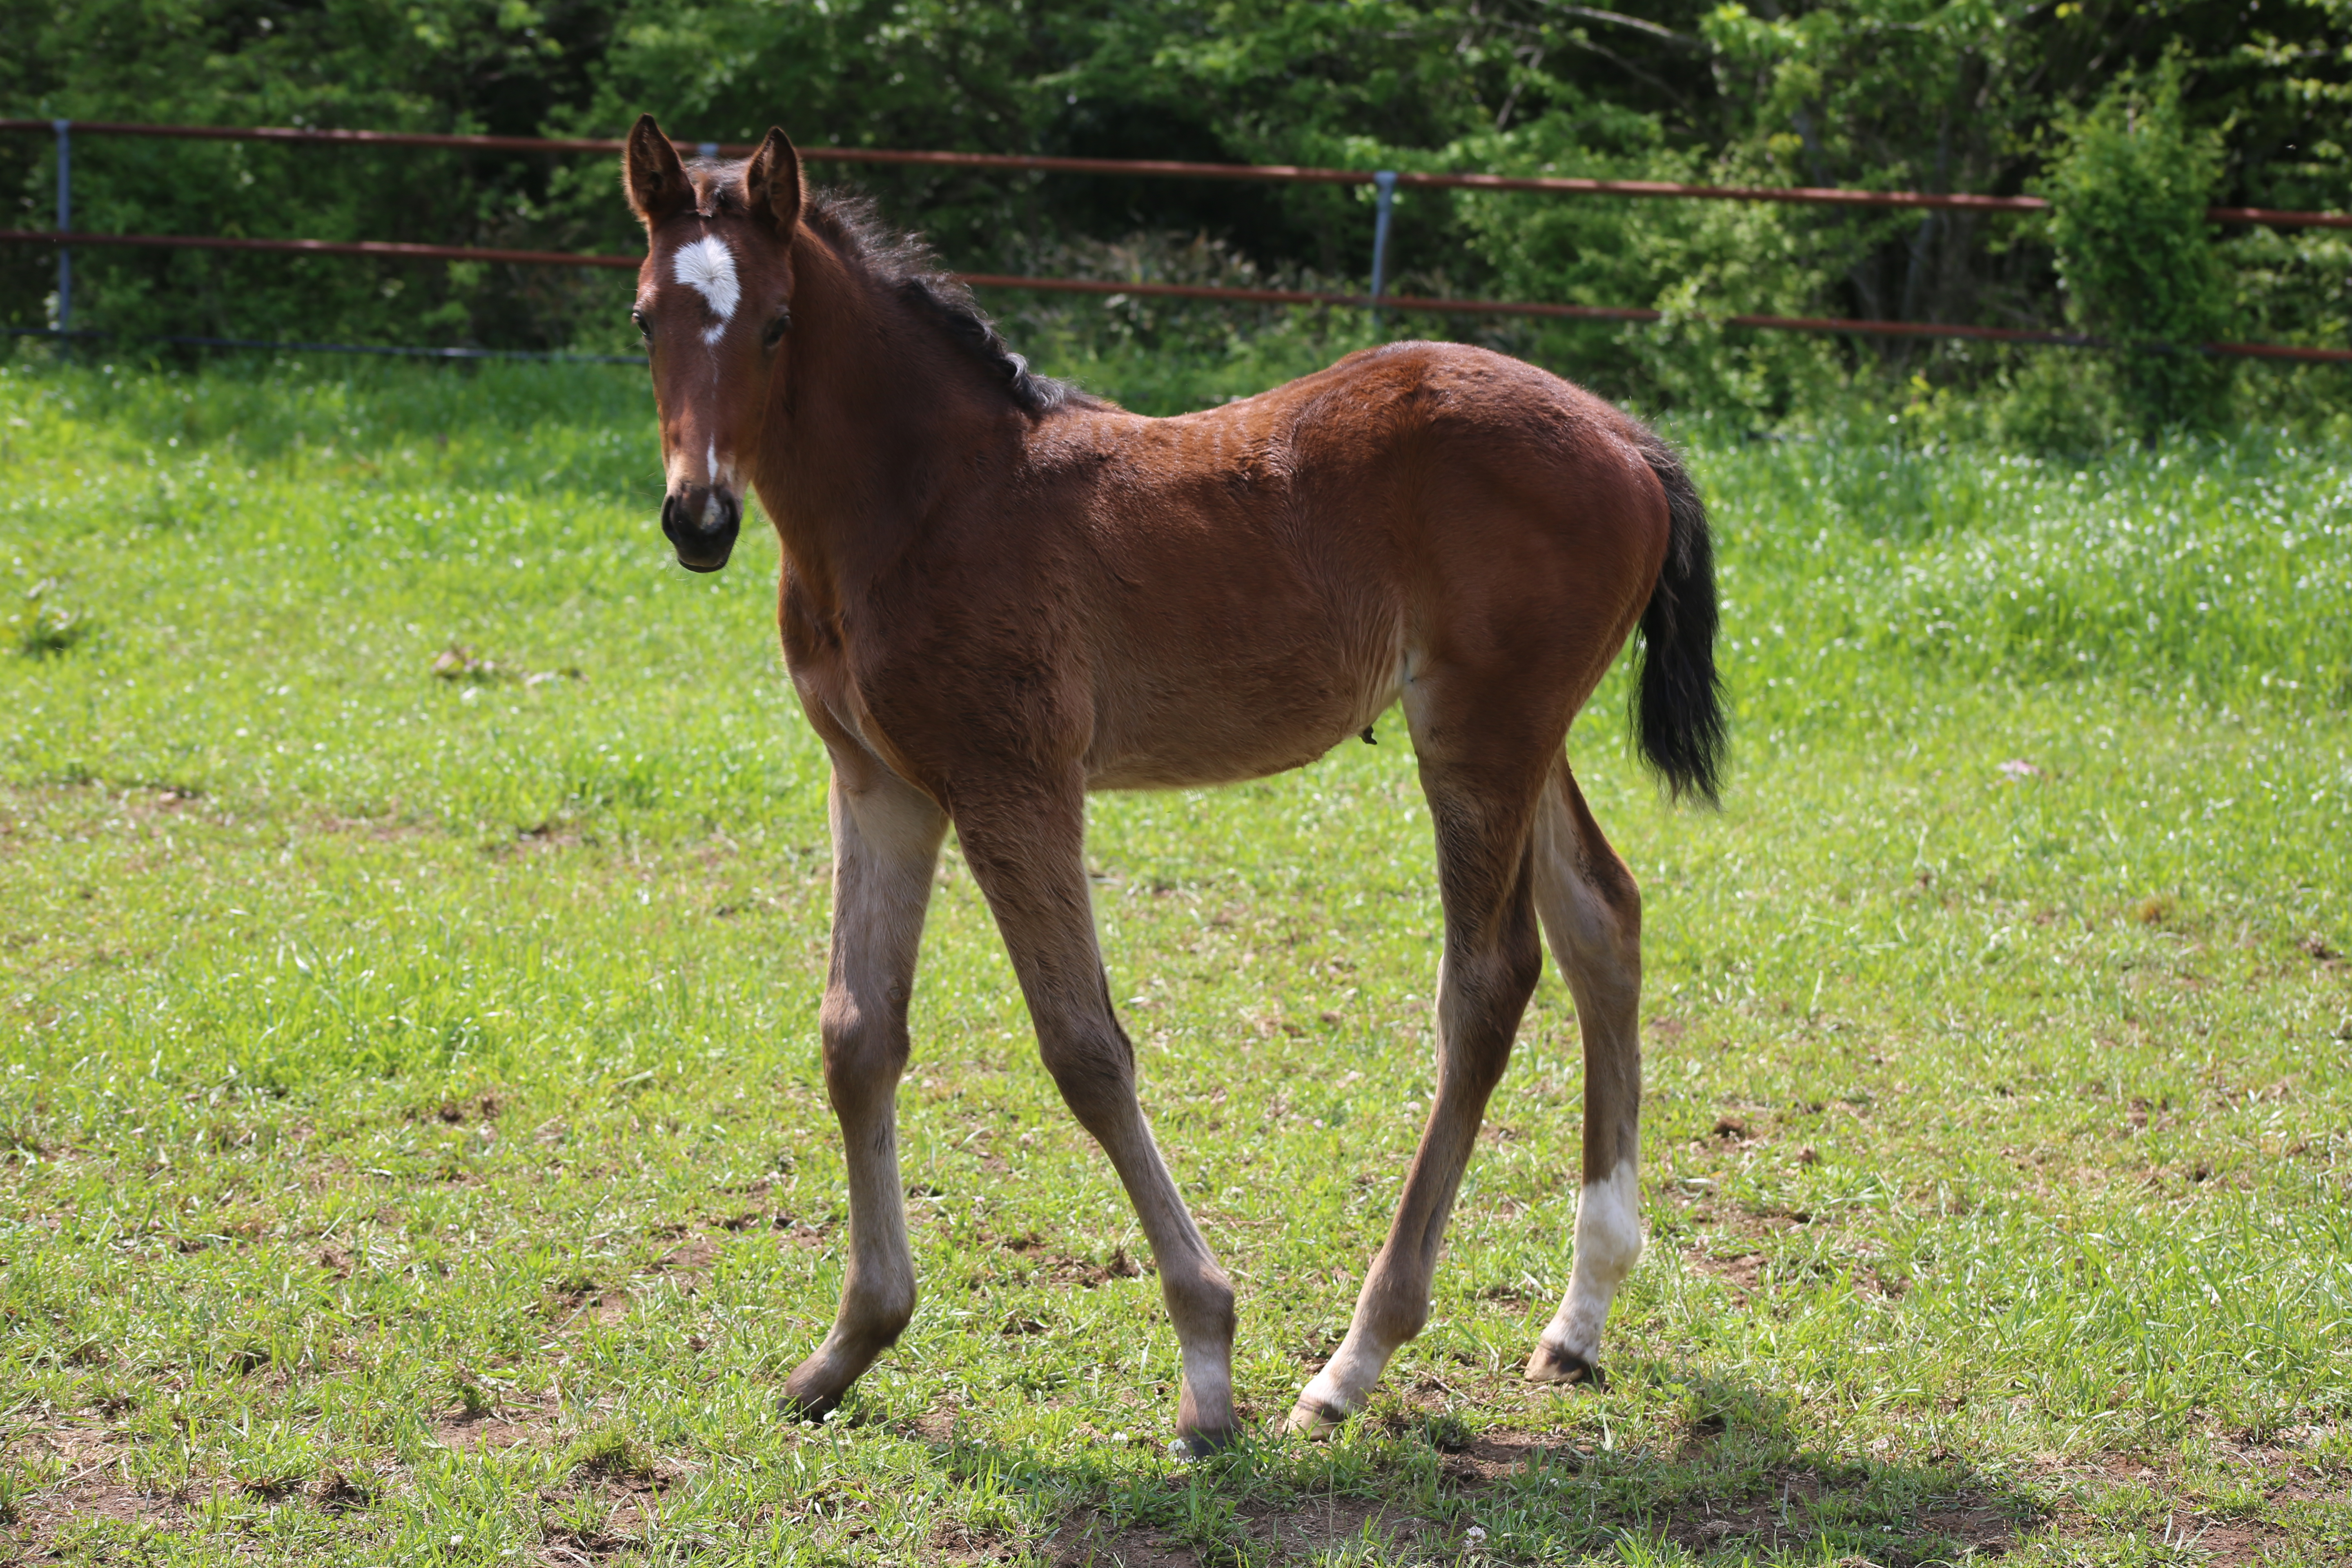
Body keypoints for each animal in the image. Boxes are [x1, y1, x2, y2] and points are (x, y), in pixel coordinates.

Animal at [626, 116, 1731, 1457]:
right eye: (644, 317)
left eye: (779, 323)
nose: (698, 517)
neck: (923, 500)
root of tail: (1630, 439)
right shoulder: (881, 783)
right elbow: (857, 1035)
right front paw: (847, 1346)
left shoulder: (1015, 781)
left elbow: (1084, 1048)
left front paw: (1207, 1362)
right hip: (1528, 732)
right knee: (1601, 921)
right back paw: (1579, 1317)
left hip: (1478, 736)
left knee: (1488, 982)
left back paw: (1354, 1359)